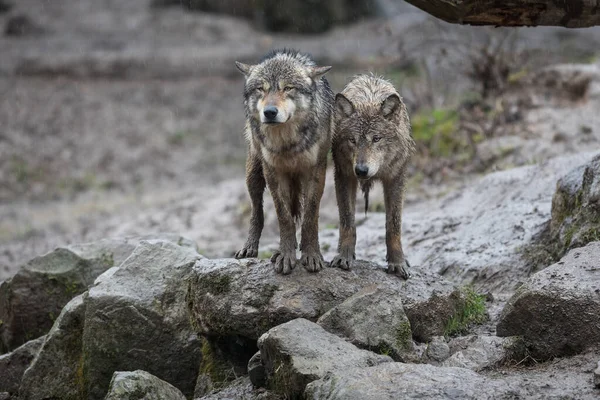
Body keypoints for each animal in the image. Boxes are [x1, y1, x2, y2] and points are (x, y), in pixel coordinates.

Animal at [233, 49, 332, 276]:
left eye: (287, 88)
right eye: (261, 89)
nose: (269, 112)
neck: (287, 143)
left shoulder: (316, 171)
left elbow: (311, 217)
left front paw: (312, 255)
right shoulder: (273, 172)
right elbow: (284, 217)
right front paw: (286, 255)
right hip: (253, 175)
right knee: (257, 212)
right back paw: (250, 247)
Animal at [328, 75, 418, 280]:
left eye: (376, 139)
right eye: (352, 140)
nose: (361, 170)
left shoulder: (396, 179)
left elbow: (393, 226)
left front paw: (398, 263)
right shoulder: (344, 176)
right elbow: (347, 222)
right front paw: (344, 255)